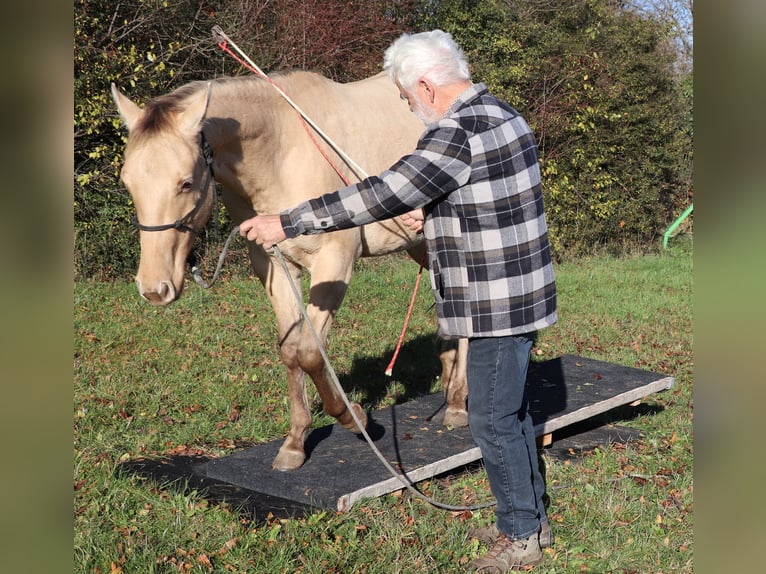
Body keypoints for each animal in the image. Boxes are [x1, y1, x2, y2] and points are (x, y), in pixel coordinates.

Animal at [111, 70, 468, 471]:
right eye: (128, 182)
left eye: (185, 182)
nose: (154, 288)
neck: (281, 151)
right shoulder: (276, 267)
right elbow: (289, 350)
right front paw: (296, 442)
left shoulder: (335, 263)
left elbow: (309, 350)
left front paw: (354, 418)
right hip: (420, 245)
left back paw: (458, 403)